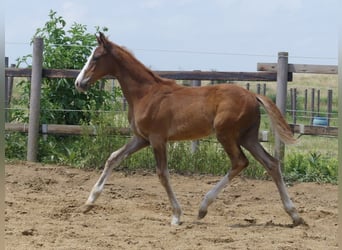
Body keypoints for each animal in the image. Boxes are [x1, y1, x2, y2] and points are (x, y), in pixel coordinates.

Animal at [74, 32, 304, 226]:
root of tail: (253, 95)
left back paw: (203, 208)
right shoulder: (141, 138)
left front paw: (176, 215)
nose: (78, 83)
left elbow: (162, 174)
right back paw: (294, 215)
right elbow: (113, 158)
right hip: (248, 137)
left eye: (96, 57)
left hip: (226, 134)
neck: (146, 93)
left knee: (240, 162)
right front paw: (89, 202)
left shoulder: (157, 139)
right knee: (271, 163)